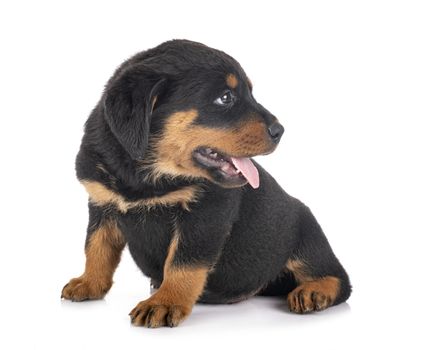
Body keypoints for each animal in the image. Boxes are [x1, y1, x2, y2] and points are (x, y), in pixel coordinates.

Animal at [61, 39, 350, 326]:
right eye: (225, 97)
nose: (280, 131)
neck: (144, 173)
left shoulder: (206, 214)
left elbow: (182, 264)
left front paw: (165, 302)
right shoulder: (101, 203)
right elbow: (97, 248)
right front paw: (89, 283)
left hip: (305, 232)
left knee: (338, 278)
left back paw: (313, 291)